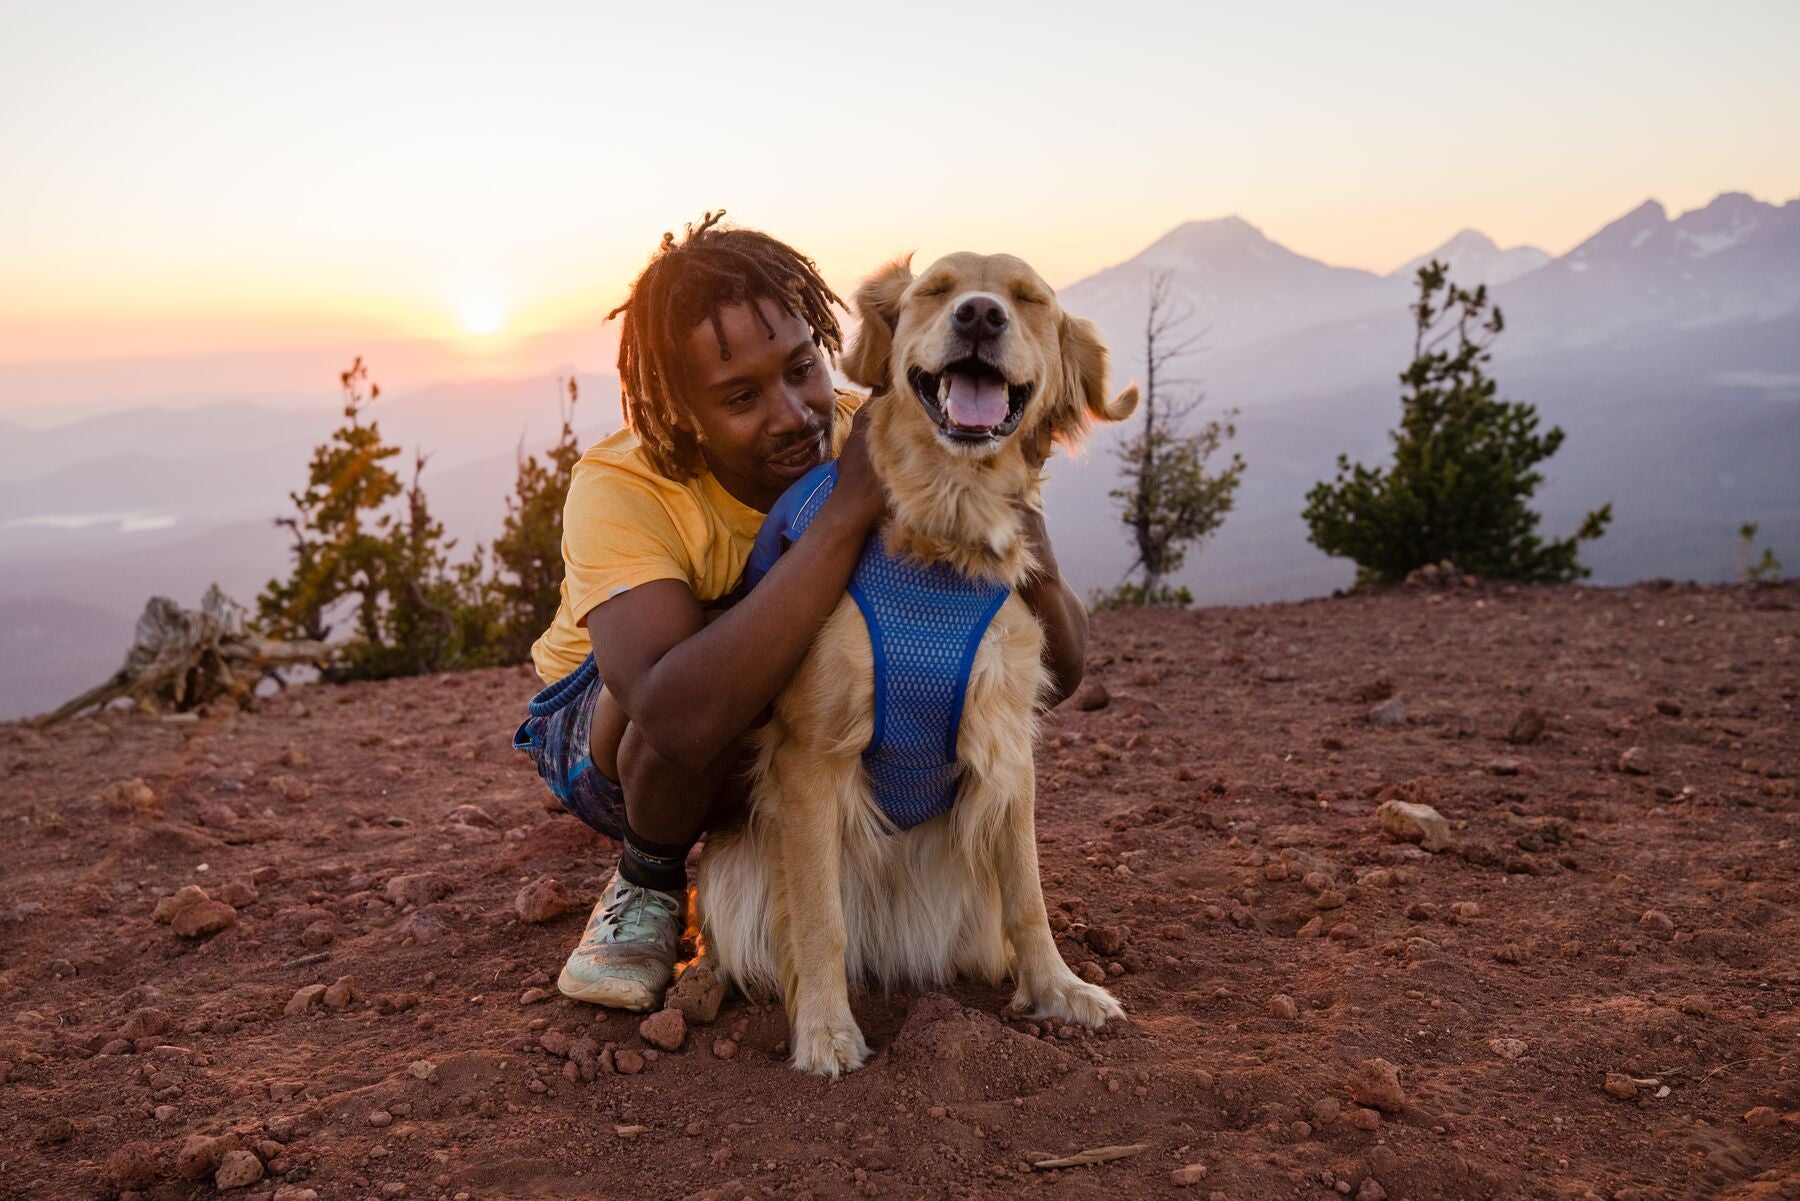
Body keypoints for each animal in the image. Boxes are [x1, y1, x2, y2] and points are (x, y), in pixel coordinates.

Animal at [691, 253, 1130, 1080]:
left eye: (1029, 299)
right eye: (936, 290)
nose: (980, 315)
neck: (943, 538)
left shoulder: (1007, 740)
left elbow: (1030, 896)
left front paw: (1059, 987)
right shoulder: (810, 755)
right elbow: (820, 919)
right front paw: (825, 1029)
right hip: (735, 872)